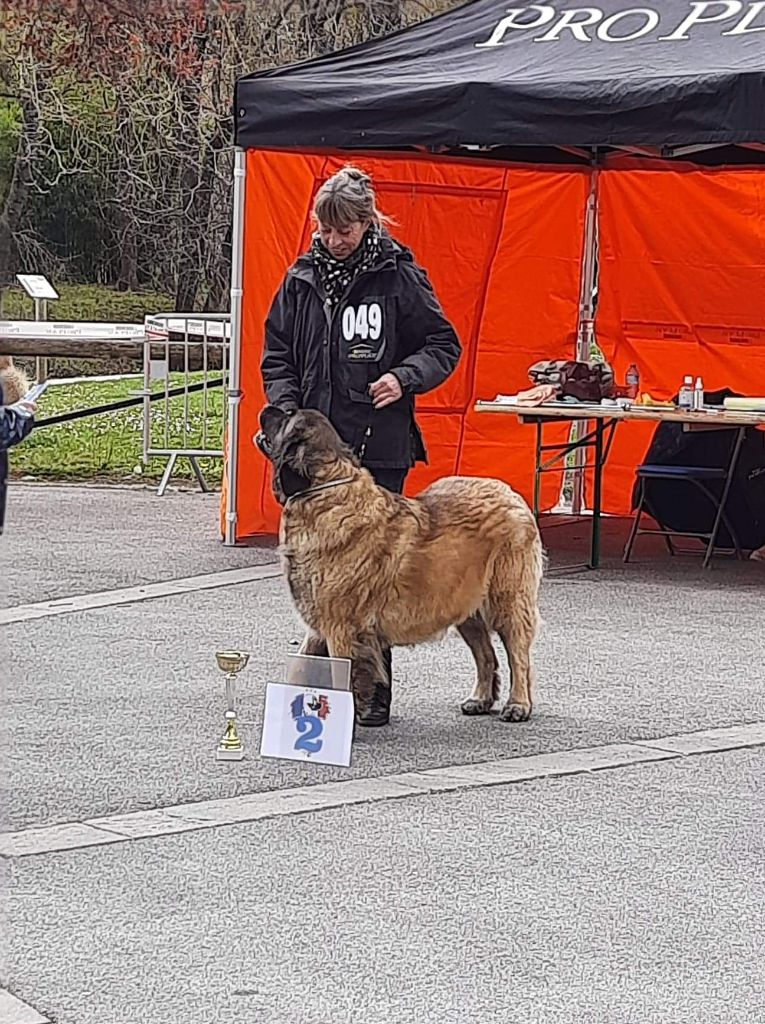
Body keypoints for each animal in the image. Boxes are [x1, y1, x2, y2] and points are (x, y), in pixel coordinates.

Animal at [257, 403, 544, 724]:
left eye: (287, 415)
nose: (270, 406)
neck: (324, 491)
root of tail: (511, 494)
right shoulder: (321, 625)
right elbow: (301, 667)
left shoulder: (340, 628)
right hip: (465, 607)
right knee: (486, 655)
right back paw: (480, 699)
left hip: (508, 600)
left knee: (518, 655)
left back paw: (518, 705)